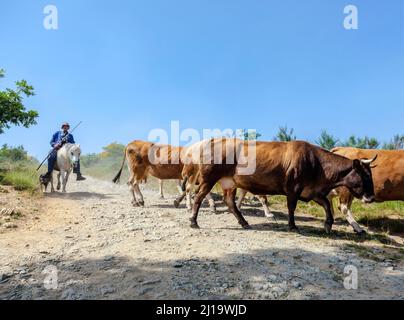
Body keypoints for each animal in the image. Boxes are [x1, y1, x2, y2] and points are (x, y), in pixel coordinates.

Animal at [181, 138, 378, 232]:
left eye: (370, 174)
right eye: (365, 175)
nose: (371, 197)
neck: (317, 164)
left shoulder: (312, 191)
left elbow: (327, 205)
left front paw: (328, 224)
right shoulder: (293, 188)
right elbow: (291, 207)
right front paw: (292, 226)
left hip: (230, 182)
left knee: (230, 202)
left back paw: (244, 222)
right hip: (209, 179)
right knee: (198, 196)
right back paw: (193, 221)